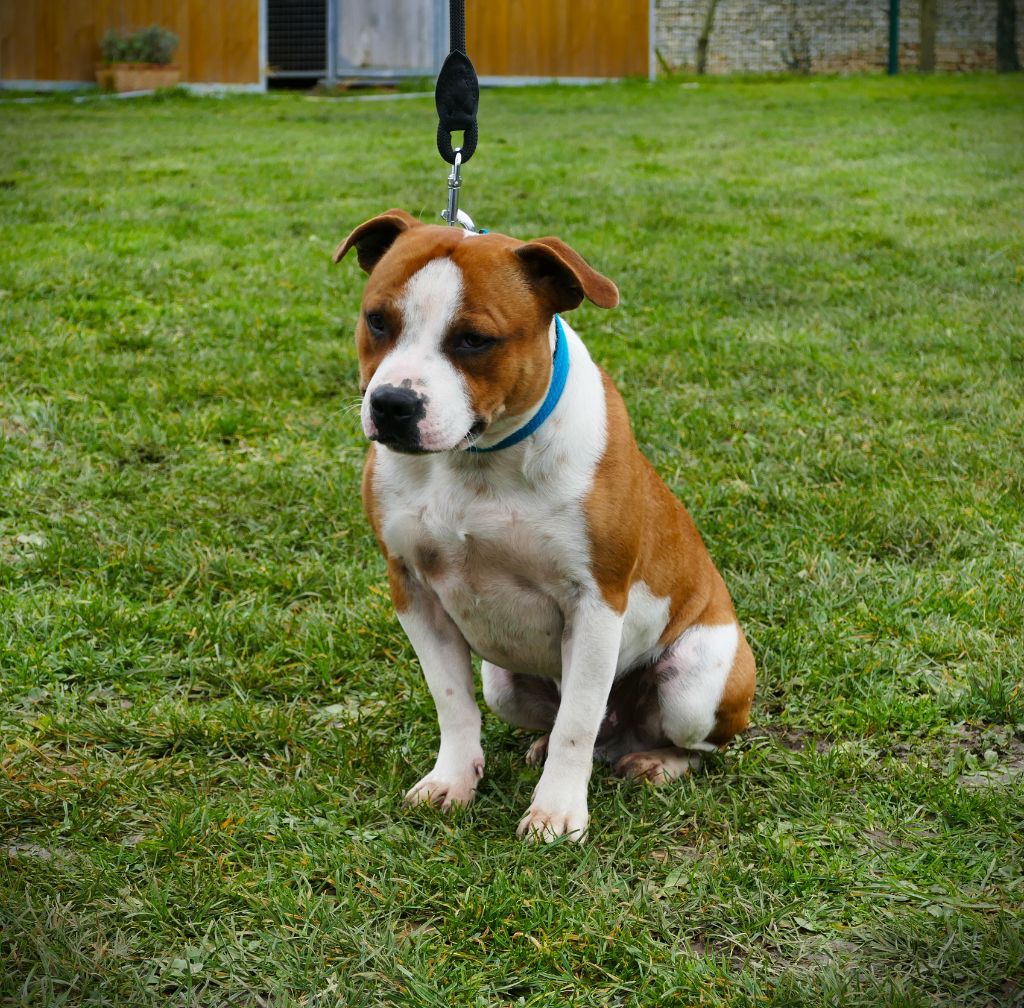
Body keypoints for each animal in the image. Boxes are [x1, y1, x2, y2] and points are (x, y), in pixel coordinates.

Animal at [335, 209, 755, 841]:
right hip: (504, 683)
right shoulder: (412, 589)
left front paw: (557, 811)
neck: (478, 461)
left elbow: (577, 723)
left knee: (688, 743)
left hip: (695, 684)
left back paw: (658, 762)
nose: (392, 404)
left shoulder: (596, 601)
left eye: (474, 339)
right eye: (378, 321)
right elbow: (452, 700)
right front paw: (452, 780)